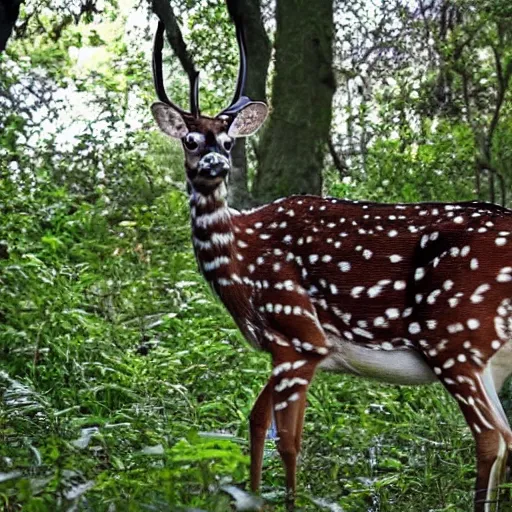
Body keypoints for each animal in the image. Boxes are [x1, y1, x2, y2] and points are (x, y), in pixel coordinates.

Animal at [150, 16, 512, 512]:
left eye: (227, 140)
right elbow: (256, 419)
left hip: (455, 336)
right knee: (507, 437)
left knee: (490, 436)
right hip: (489, 355)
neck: (242, 263)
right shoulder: (294, 349)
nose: (216, 164)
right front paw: (251, 497)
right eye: (189, 140)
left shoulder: (298, 334)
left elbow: (289, 440)